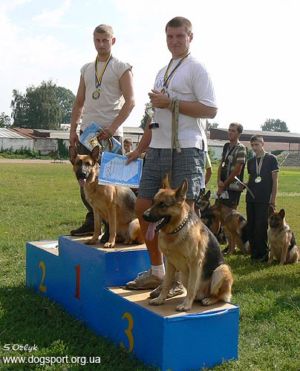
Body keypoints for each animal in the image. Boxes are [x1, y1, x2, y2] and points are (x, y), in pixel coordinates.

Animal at [144, 176, 233, 312]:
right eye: (153, 202)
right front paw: (160, 299)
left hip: (222, 269)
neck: (176, 230)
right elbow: (166, 284)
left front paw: (186, 305)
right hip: (183, 275)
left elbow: (191, 287)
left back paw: (208, 300)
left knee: (218, 296)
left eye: (163, 205)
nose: (144, 215)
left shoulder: (195, 263)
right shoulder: (170, 263)